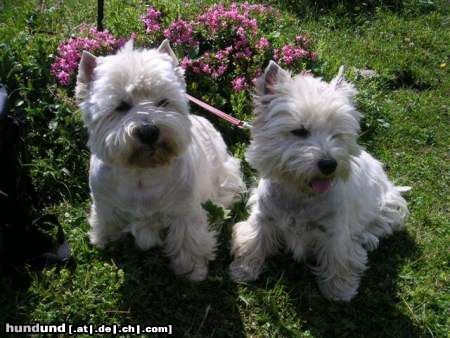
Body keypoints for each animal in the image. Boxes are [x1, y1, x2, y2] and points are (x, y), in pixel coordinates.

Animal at [78, 41, 246, 282]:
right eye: (121, 106)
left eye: (163, 102)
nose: (149, 131)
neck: (141, 173)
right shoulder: (105, 205)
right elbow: (106, 222)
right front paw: (104, 240)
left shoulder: (184, 211)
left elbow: (188, 240)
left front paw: (192, 270)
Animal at [230, 60, 410, 302]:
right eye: (299, 131)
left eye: (337, 134)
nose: (329, 164)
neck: (300, 194)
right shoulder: (264, 218)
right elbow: (252, 241)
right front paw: (243, 270)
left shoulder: (334, 232)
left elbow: (339, 259)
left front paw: (339, 290)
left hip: (386, 203)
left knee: (379, 224)